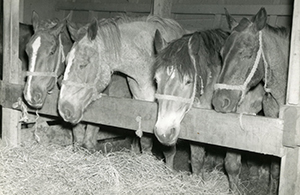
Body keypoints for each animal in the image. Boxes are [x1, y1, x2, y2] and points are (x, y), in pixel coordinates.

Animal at [152, 28, 264, 193]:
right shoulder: (199, 126)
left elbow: (232, 166)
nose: (163, 133)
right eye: (156, 80)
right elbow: (197, 159)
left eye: (188, 81)